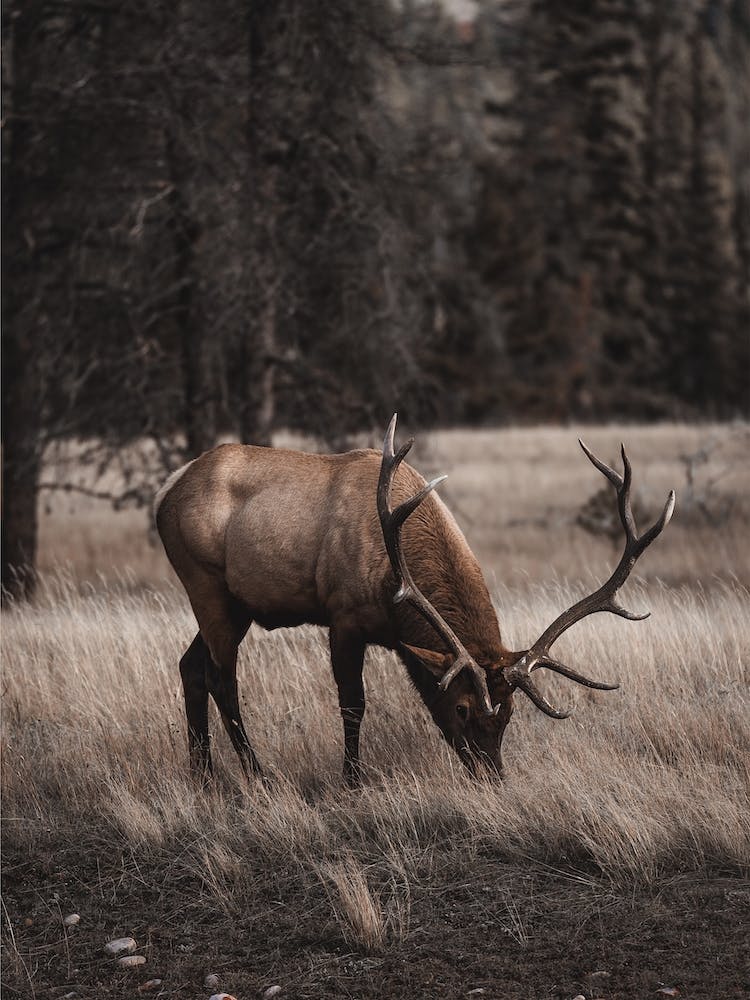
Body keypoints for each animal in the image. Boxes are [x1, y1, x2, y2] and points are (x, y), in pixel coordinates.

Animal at [154, 415, 675, 784]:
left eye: (509, 713)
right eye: (463, 708)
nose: (492, 777)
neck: (394, 590)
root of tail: (165, 492)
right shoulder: (343, 617)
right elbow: (353, 703)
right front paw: (352, 781)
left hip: (236, 605)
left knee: (190, 665)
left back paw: (203, 776)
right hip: (206, 583)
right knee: (221, 678)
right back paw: (256, 774)